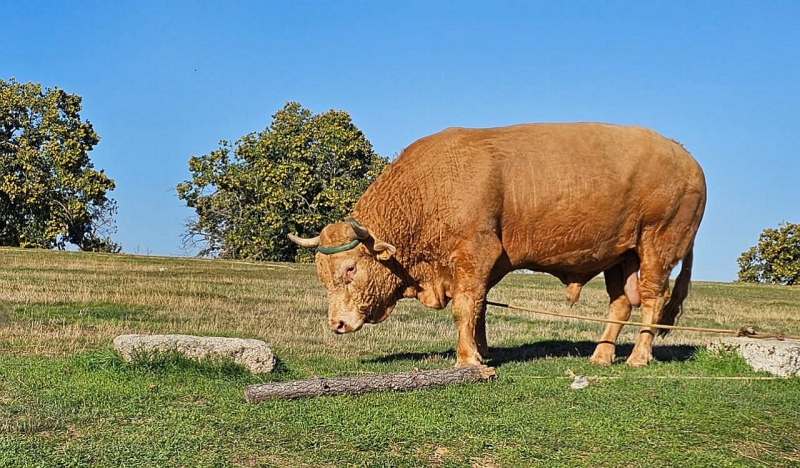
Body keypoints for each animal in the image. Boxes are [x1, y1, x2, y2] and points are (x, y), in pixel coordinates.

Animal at [290, 122, 708, 368]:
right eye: (322, 274)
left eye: (350, 268)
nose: (336, 324)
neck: (430, 187)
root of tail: (686, 156)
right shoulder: (480, 267)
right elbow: (479, 309)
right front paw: (482, 352)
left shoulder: (475, 254)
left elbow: (465, 307)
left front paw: (467, 361)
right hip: (620, 258)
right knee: (620, 304)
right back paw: (602, 356)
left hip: (656, 247)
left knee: (652, 301)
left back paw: (638, 357)